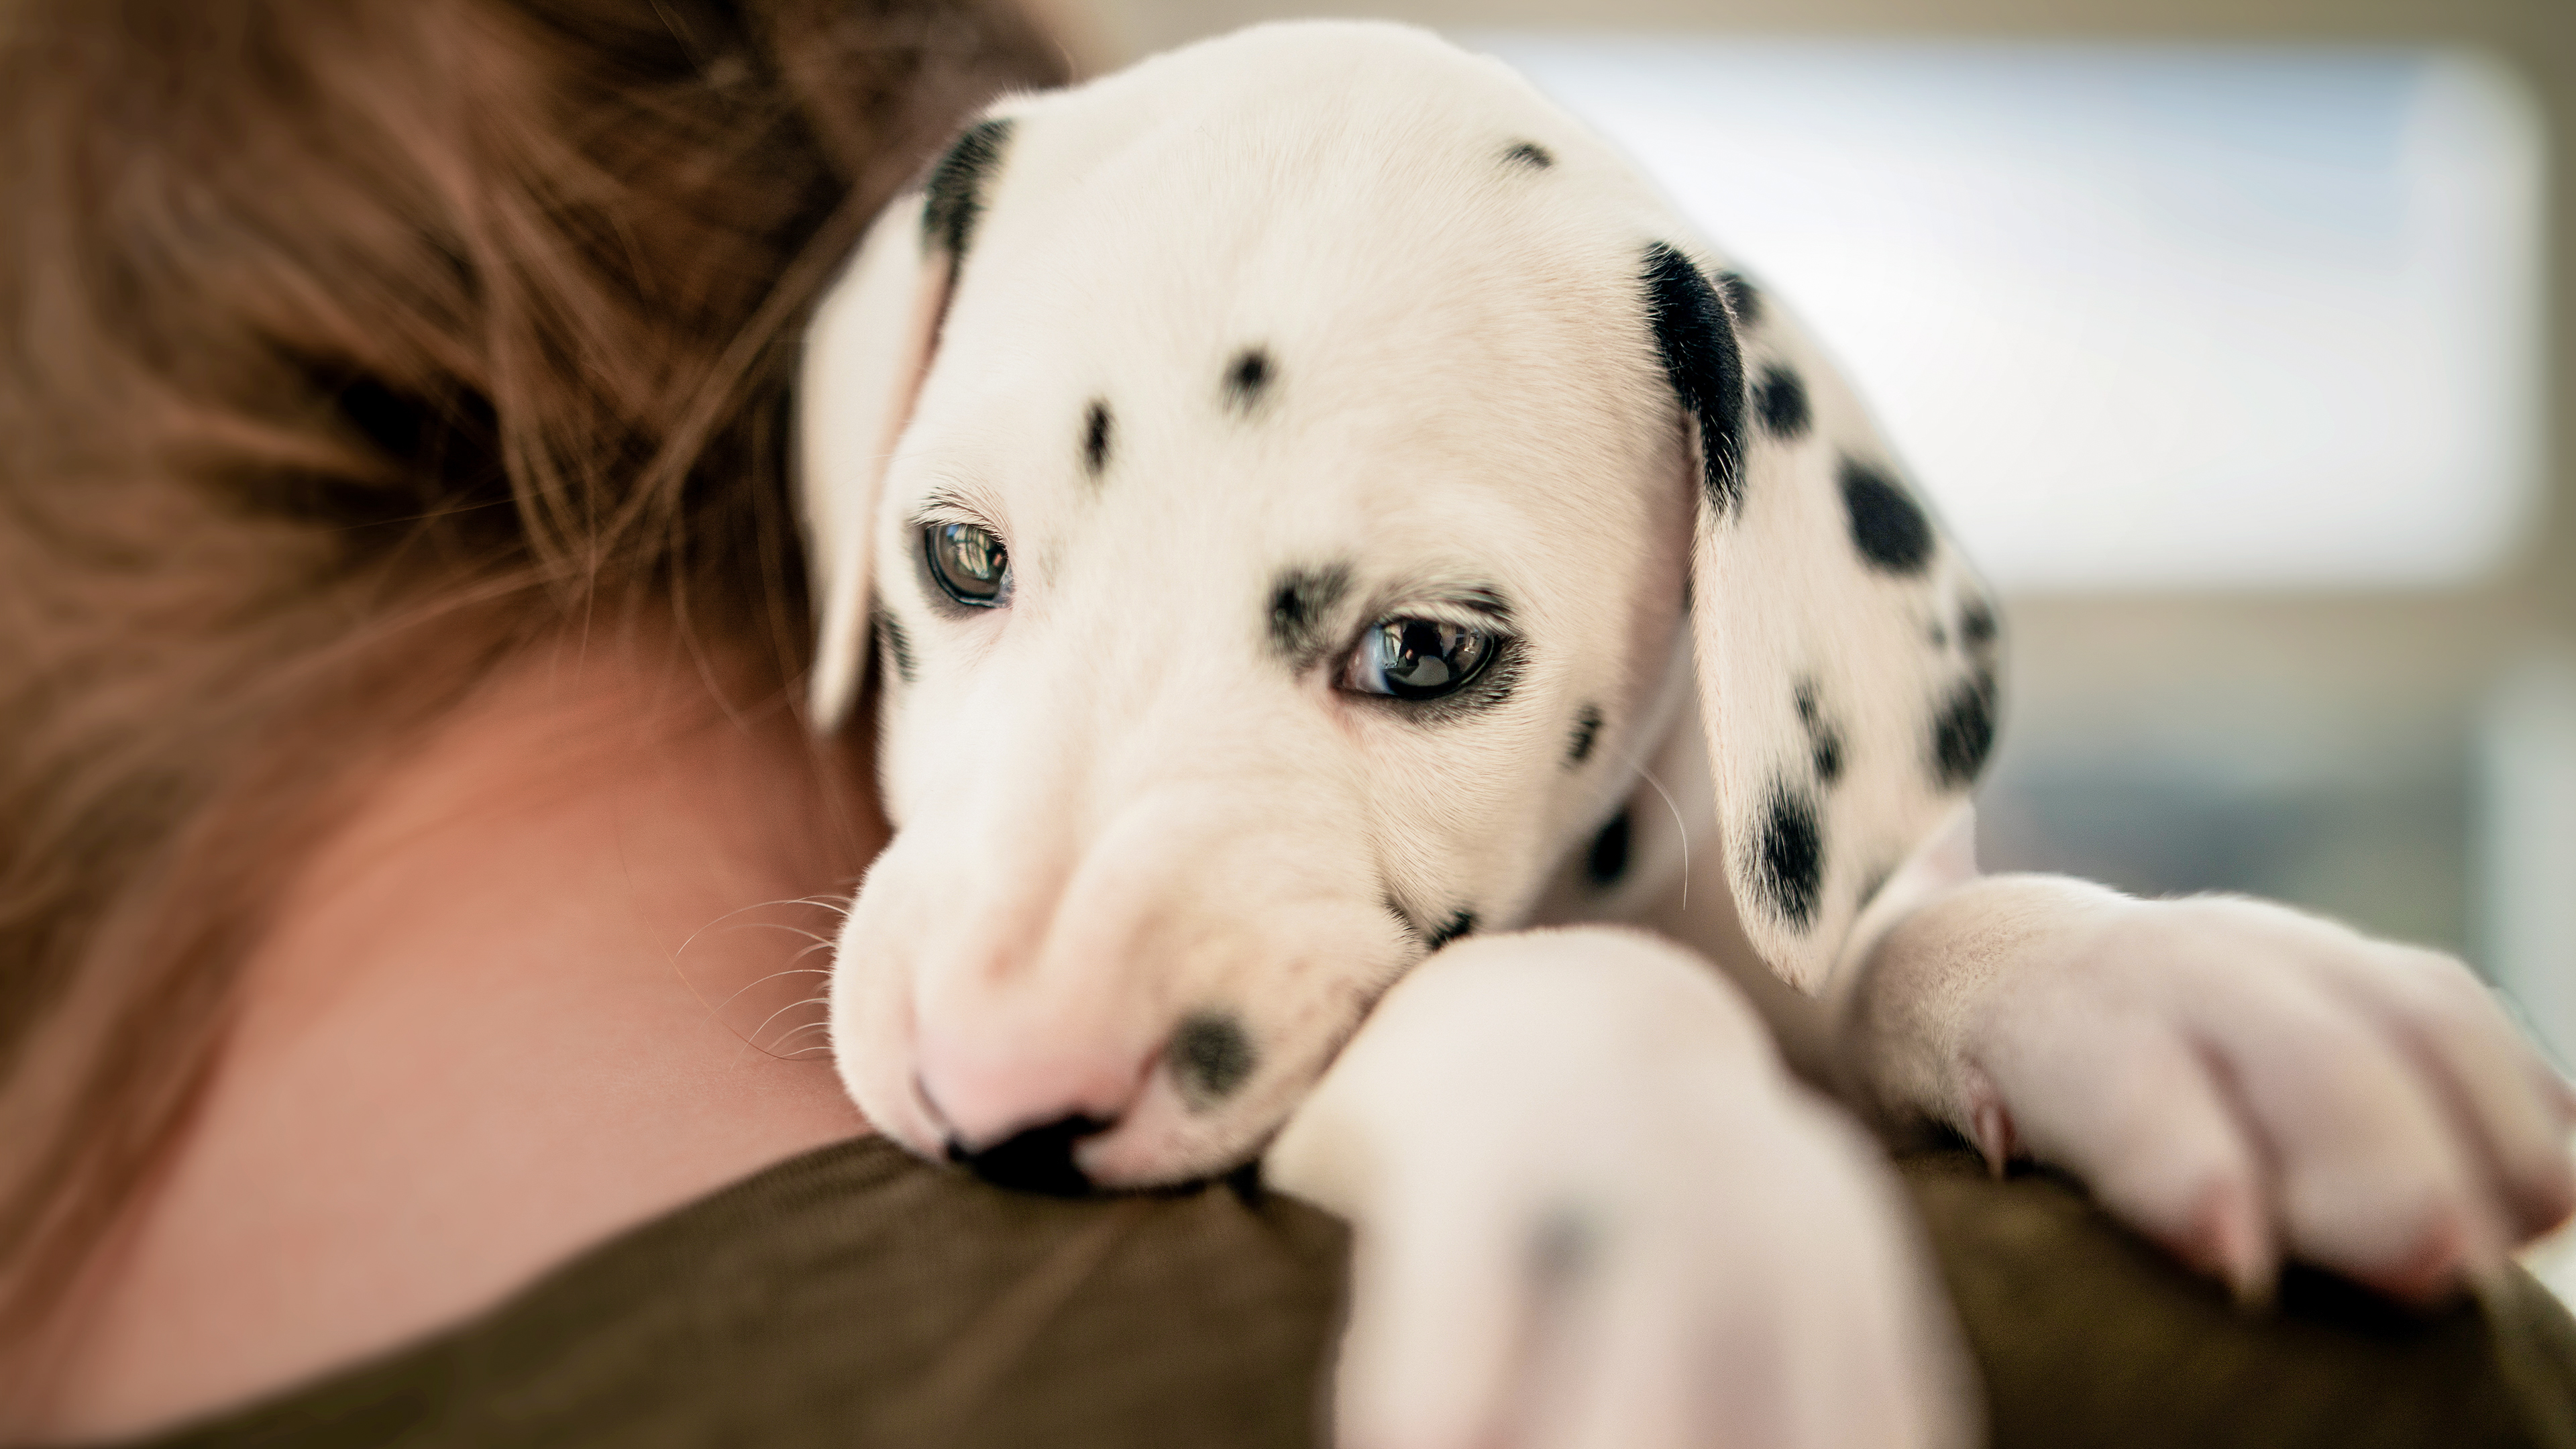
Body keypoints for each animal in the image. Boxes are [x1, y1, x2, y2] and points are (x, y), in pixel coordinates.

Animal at [798, 22, 2576, 1444]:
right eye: (961, 555)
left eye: (1421, 651)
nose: (996, 1090)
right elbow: (1537, 986)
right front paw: (1660, 1217)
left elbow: (1906, 939)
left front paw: (2194, 982)